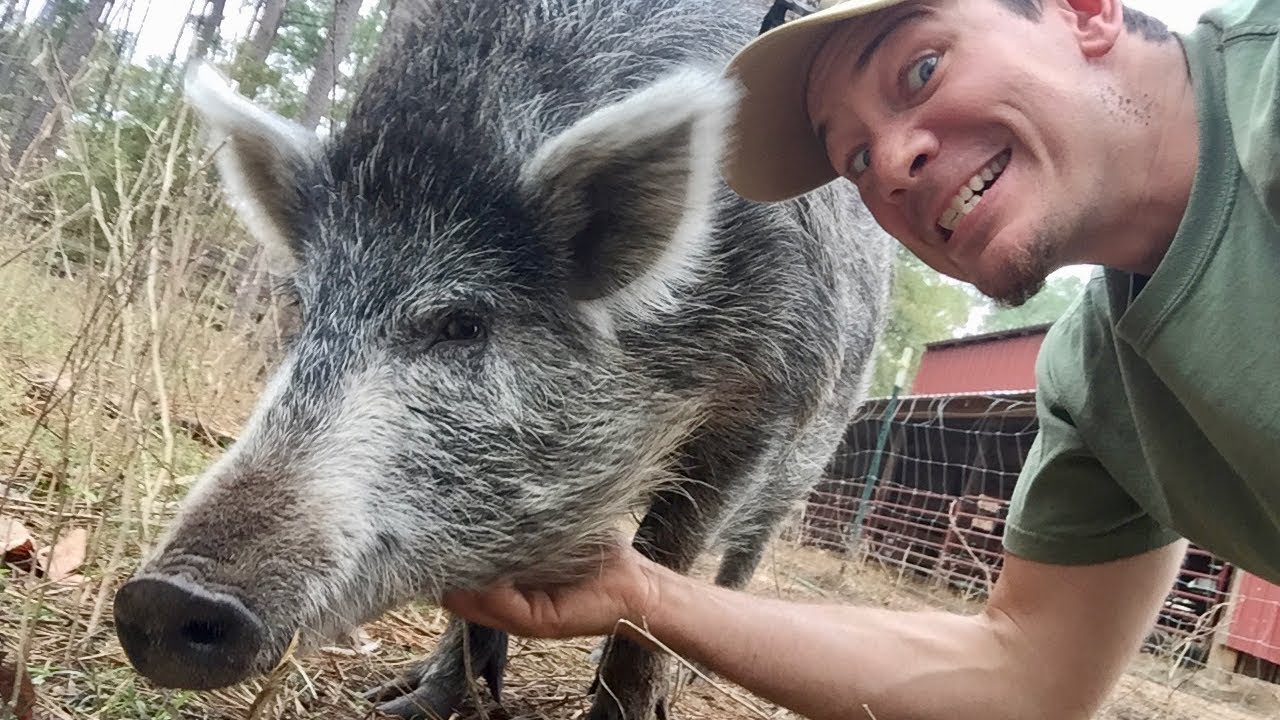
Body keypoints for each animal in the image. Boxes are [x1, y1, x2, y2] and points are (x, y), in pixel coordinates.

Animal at [110, 0, 894, 718]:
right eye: (306, 309)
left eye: (464, 323)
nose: (162, 596)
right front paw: (403, 709)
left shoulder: (771, 390)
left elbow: (664, 564)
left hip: (812, 452)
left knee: (741, 556)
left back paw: (695, 681)